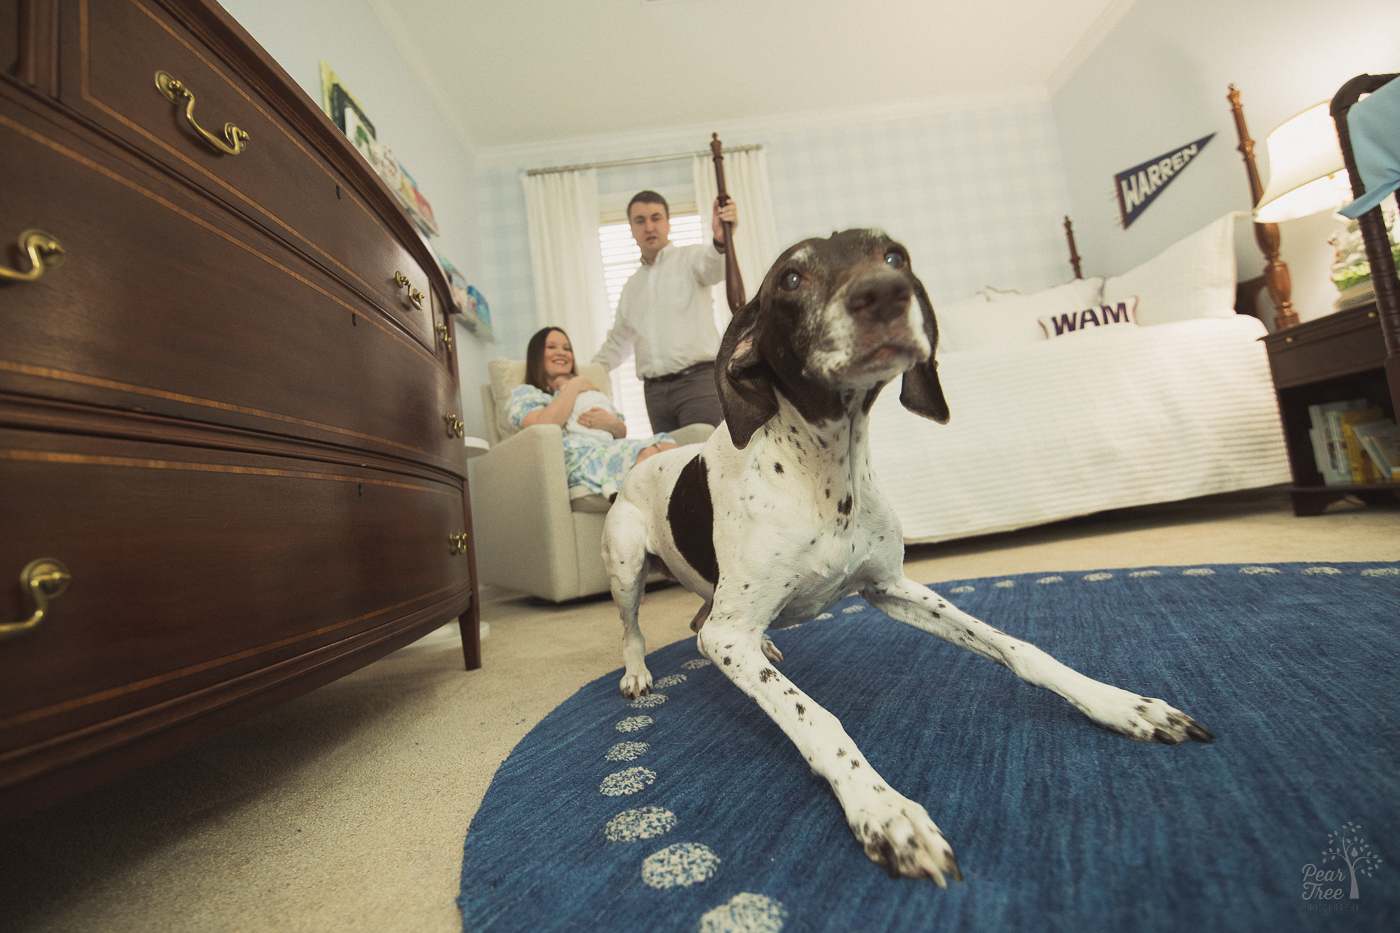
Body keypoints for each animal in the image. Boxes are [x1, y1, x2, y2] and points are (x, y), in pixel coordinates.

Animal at [602, 228, 1215, 885]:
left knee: (703, 619)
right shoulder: (726, 636)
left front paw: (1123, 704)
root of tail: (641, 463)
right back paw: (637, 672)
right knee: (635, 627)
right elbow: (816, 717)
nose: (884, 293)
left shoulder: (891, 587)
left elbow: (1019, 648)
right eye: (791, 278)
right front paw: (883, 809)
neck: (826, 473)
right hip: (627, 565)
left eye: (894, 255)